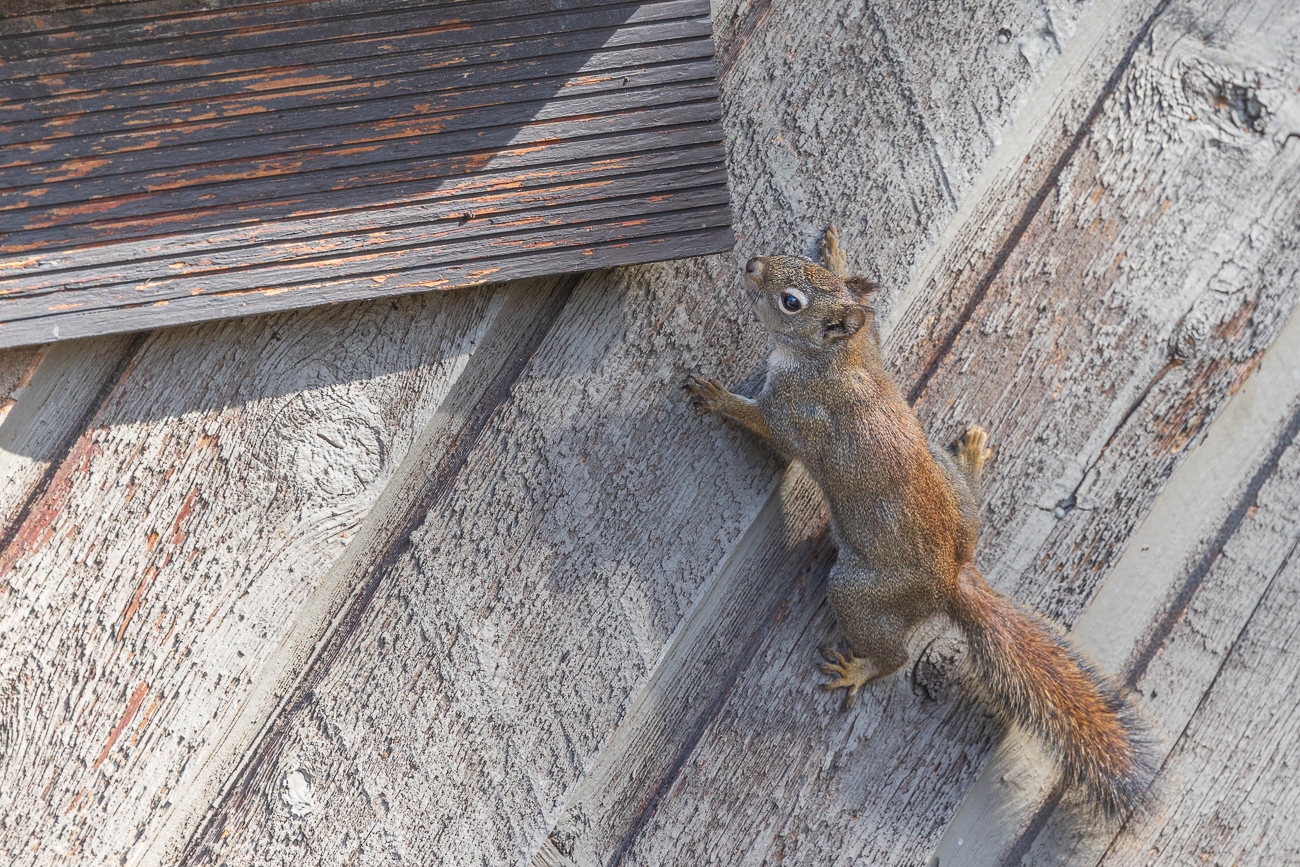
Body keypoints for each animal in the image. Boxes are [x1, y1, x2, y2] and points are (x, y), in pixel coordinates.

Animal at [686, 225, 1154, 817]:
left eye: (791, 302)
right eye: (795, 264)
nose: (751, 264)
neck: (836, 355)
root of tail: (952, 577)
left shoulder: (794, 414)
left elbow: (769, 432)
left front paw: (715, 395)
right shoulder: (870, 342)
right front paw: (839, 255)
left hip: (861, 590)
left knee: (897, 654)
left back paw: (860, 669)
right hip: (950, 503)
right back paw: (971, 461)